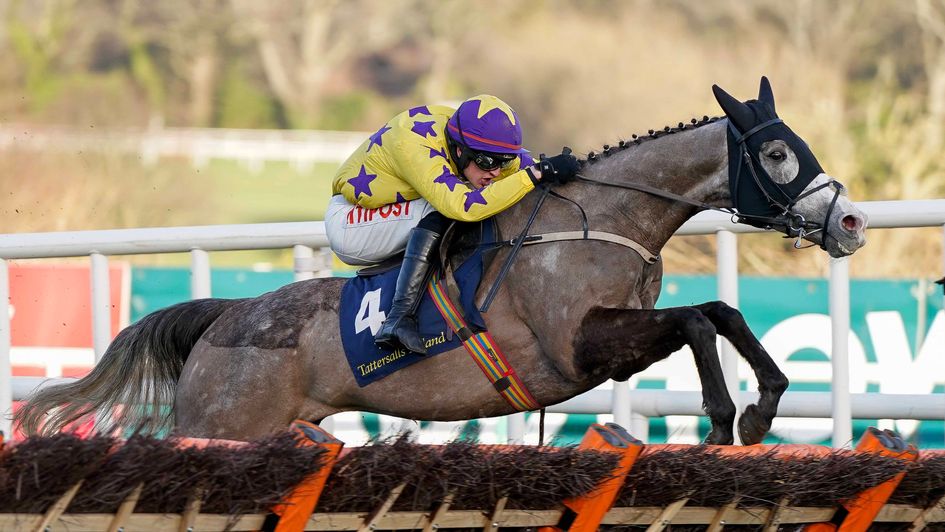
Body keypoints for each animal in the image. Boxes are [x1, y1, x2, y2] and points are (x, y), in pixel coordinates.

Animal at [14, 79, 868, 444]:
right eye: (777, 152)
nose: (851, 221)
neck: (598, 219)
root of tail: (229, 314)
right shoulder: (578, 346)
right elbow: (695, 320)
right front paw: (726, 417)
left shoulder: (608, 337)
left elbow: (719, 311)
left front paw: (765, 403)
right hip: (221, 426)